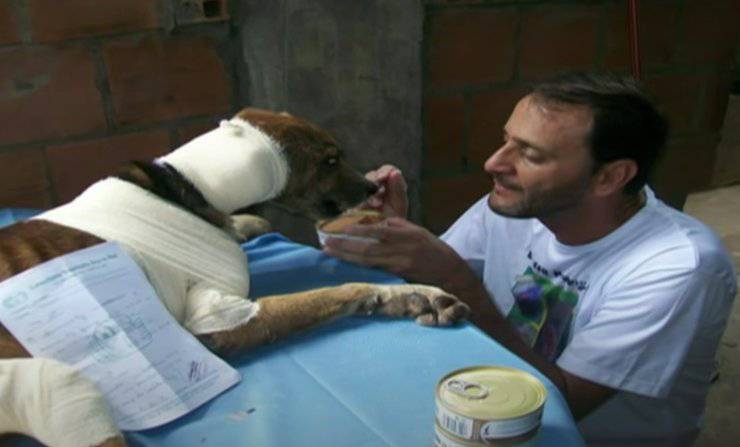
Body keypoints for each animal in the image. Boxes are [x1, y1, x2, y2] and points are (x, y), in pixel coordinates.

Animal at [0, 108, 469, 447]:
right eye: (330, 160)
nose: (372, 188)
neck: (189, 184)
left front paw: (245, 223)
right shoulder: (217, 319)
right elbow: (343, 289)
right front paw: (414, 294)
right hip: (60, 388)